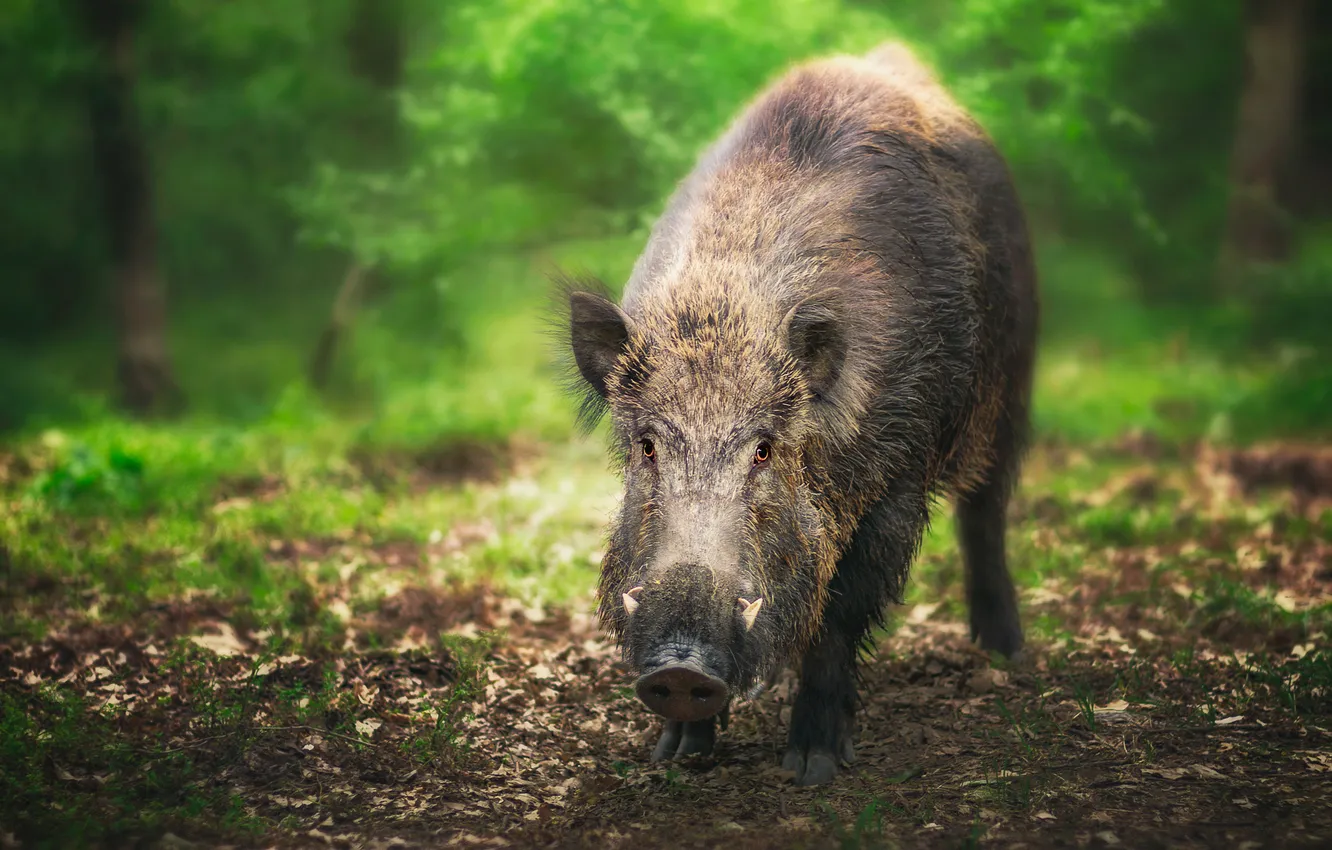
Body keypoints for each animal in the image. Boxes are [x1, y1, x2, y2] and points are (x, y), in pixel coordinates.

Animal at [565, 41, 1038, 786]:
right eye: (646, 446)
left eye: (764, 448)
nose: (680, 668)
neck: (730, 301)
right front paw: (675, 755)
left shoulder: (899, 475)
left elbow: (840, 614)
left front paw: (812, 768)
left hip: (1013, 379)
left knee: (986, 511)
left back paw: (1004, 652)